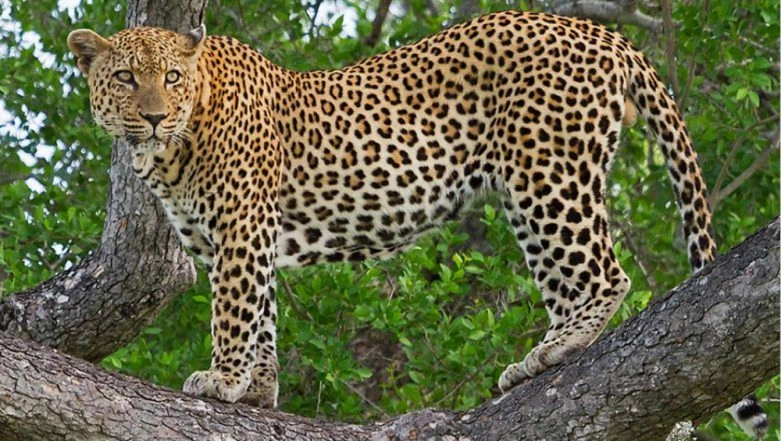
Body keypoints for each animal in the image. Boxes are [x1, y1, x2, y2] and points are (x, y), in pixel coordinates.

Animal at [67, 10, 766, 437]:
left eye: (171, 77)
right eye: (125, 77)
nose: (154, 116)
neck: (169, 150)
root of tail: (597, 31)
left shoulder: (241, 226)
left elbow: (234, 312)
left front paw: (222, 381)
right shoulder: (229, 238)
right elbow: (260, 313)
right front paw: (260, 390)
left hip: (546, 171)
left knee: (605, 273)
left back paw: (557, 350)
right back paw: (537, 363)